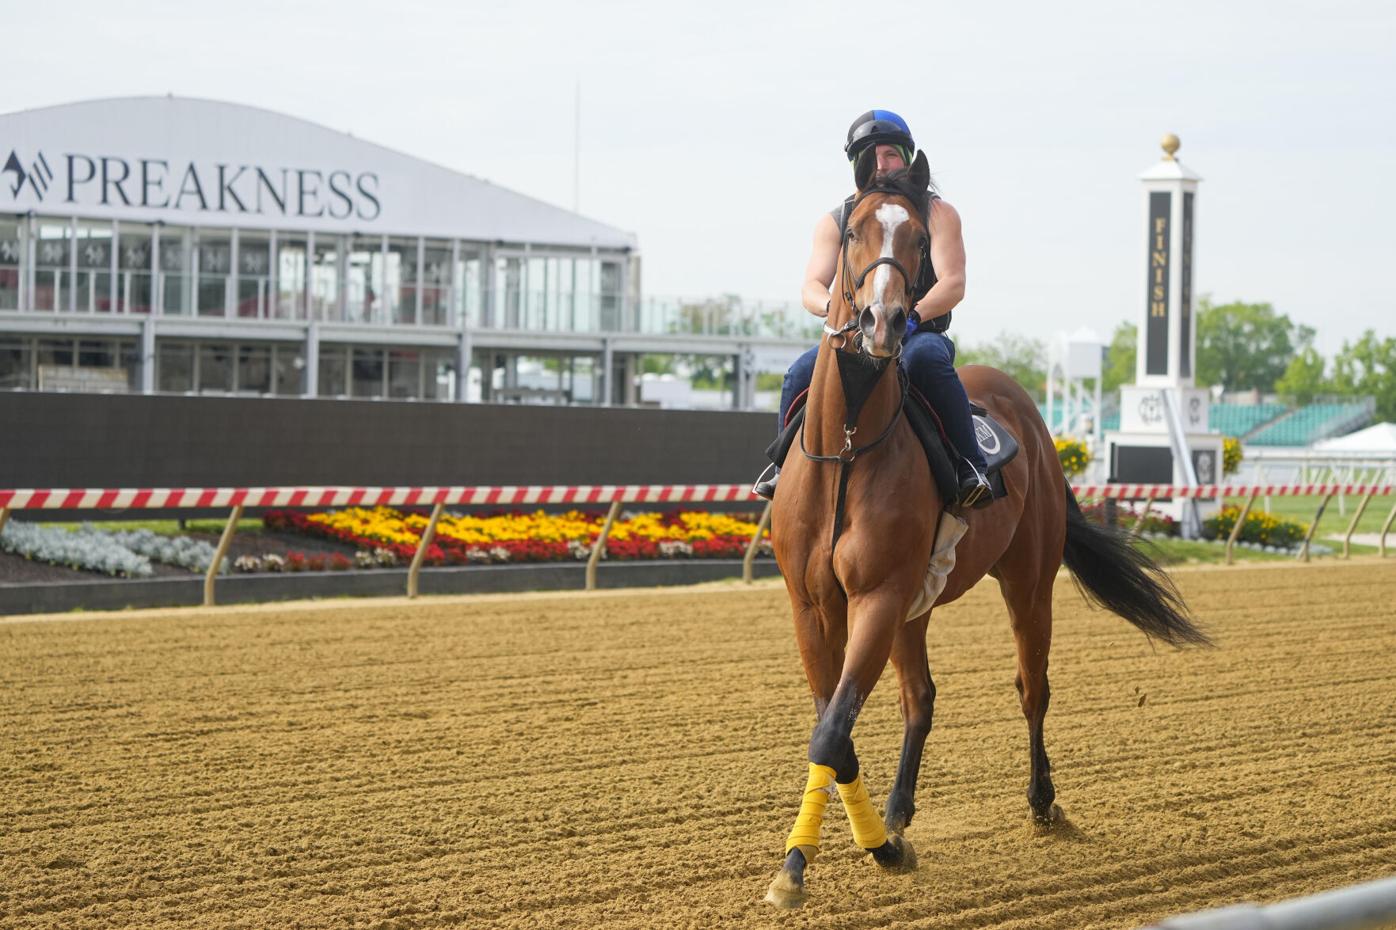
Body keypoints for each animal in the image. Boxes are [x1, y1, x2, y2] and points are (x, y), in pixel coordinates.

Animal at [765, 148, 1211, 899]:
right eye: (852, 231)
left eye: (920, 238)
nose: (884, 321)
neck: (849, 449)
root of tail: (1030, 414)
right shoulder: (813, 604)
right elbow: (836, 728)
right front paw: (846, 850)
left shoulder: (878, 595)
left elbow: (831, 733)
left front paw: (828, 860)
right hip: (916, 607)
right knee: (920, 699)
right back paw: (898, 813)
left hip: (1027, 582)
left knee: (1033, 688)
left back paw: (1042, 803)